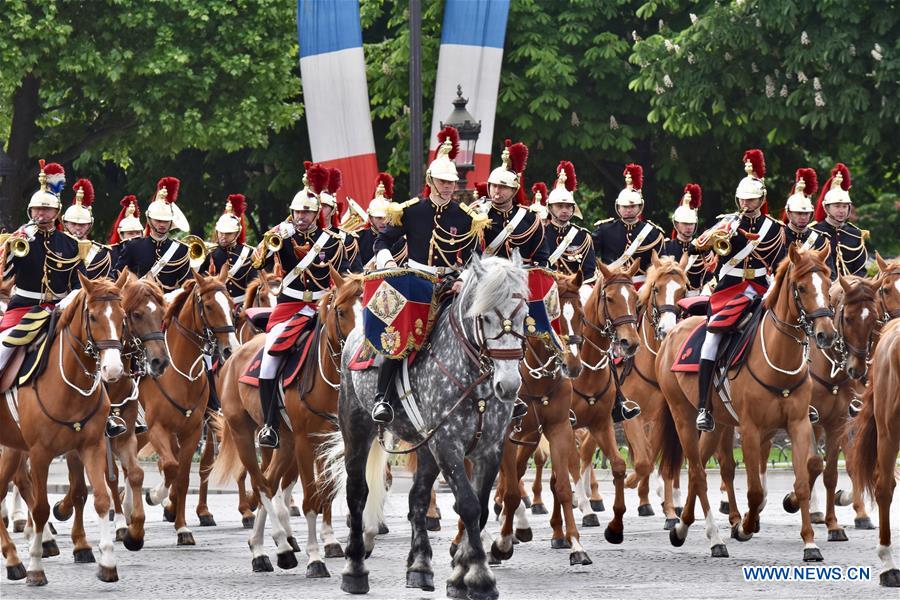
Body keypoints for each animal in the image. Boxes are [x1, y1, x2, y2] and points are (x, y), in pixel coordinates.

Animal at [0, 274, 128, 584]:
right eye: (92, 316)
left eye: (123, 317)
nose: (113, 370)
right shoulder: (40, 453)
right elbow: (41, 508)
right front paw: (36, 567)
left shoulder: (91, 446)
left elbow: (101, 498)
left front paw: (107, 562)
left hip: (11, 447)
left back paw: (13, 559)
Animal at [652, 245, 836, 564]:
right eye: (801, 287)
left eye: (827, 284)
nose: (826, 333)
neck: (777, 356)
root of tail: (673, 332)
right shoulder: (750, 430)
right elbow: (754, 491)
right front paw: (745, 527)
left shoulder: (798, 424)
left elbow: (804, 478)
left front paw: (810, 543)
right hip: (683, 417)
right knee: (698, 472)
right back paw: (715, 538)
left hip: (717, 425)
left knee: (704, 468)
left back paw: (683, 527)